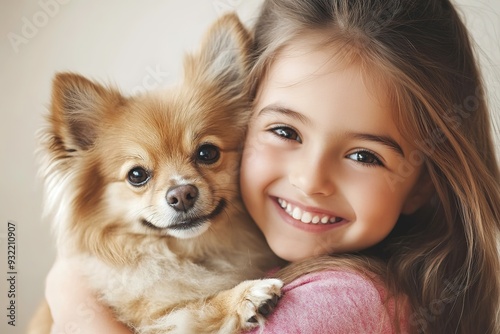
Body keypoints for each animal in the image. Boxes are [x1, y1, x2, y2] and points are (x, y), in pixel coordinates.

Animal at [29, 13, 284, 334]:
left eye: (207, 153)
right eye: (137, 175)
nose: (182, 194)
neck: (189, 252)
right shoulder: (156, 319)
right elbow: (195, 308)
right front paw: (245, 296)